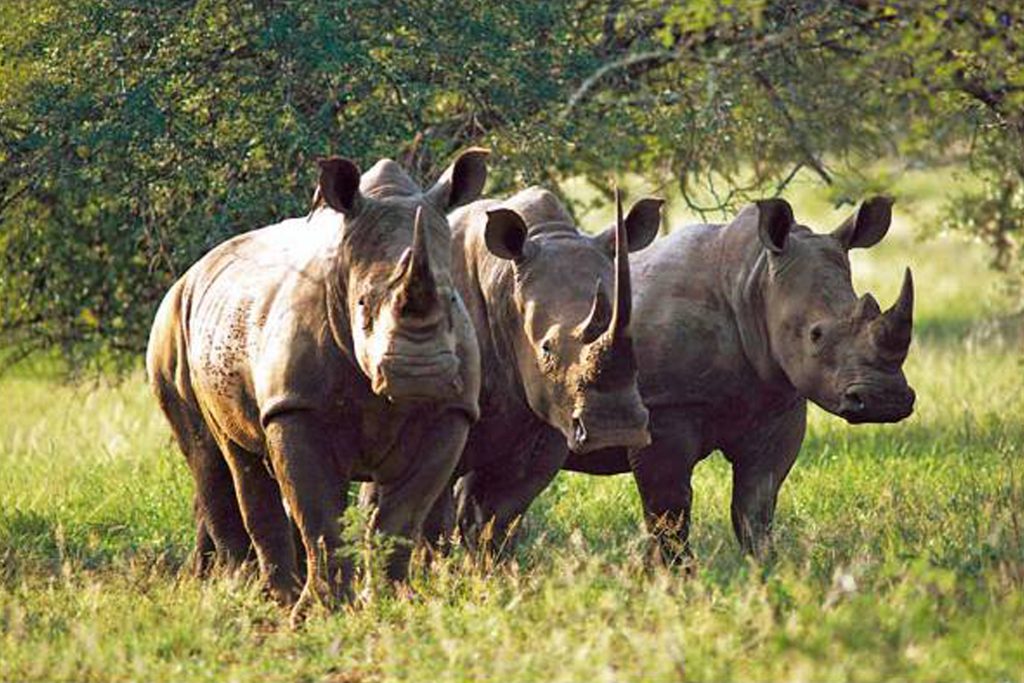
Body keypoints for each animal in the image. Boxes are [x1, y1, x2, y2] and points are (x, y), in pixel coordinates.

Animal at [146, 149, 488, 622]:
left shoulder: (451, 411)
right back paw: (259, 594)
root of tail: (194, 270)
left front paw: (395, 603)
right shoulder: (295, 406)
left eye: (453, 298)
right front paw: (317, 613)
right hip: (172, 326)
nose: (418, 373)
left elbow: (402, 518)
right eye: (361, 302)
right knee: (217, 457)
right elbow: (320, 516)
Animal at [455, 196, 915, 560]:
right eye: (816, 335)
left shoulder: (778, 399)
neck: (753, 283)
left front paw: (766, 572)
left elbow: (756, 504)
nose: (886, 400)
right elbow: (670, 510)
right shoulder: (665, 410)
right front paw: (678, 580)